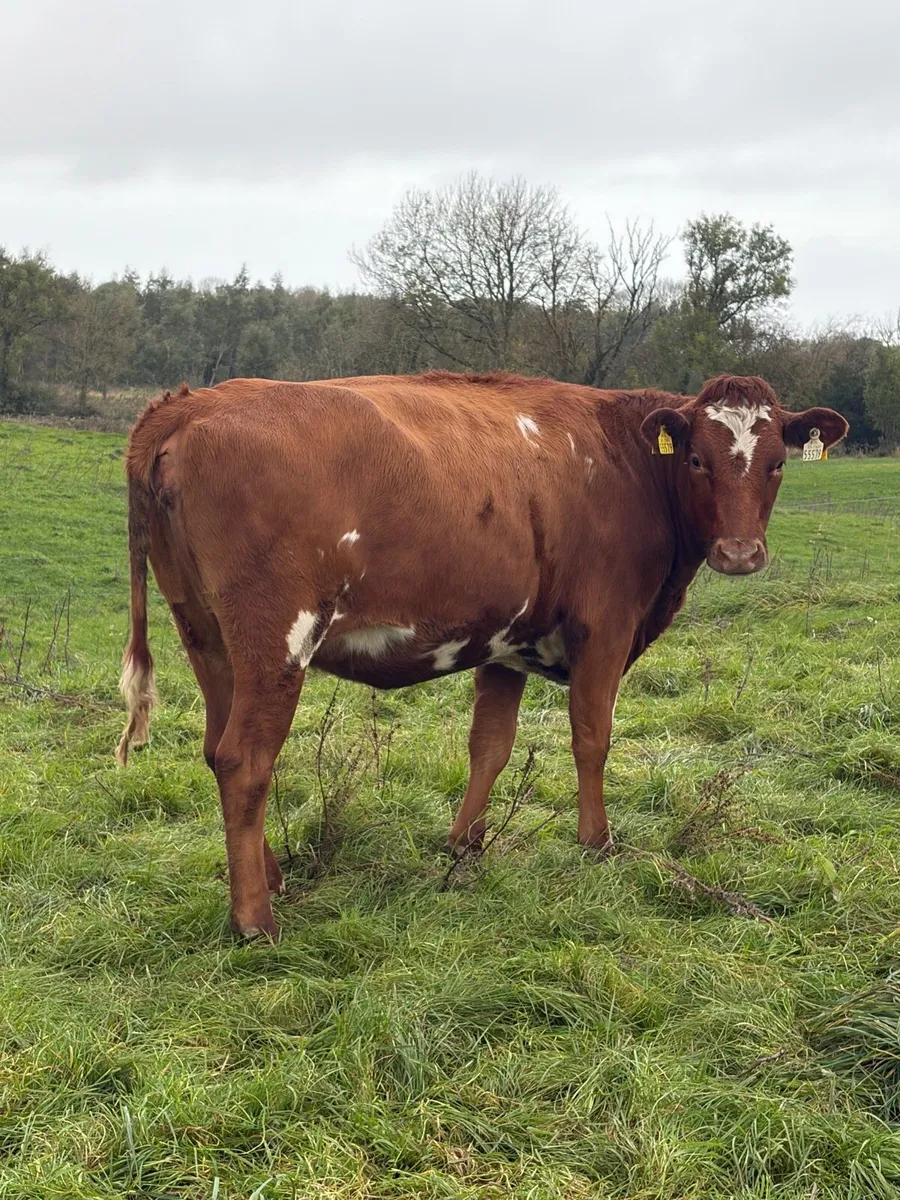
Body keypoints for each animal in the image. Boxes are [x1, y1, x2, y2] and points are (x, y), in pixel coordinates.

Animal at [116, 371, 848, 939]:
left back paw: (270, 879)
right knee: (245, 761)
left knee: (215, 748)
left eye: (777, 463)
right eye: (698, 460)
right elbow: (592, 736)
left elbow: (490, 745)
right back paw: (254, 919)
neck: (623, 458)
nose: (740, 554)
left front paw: (464, 847)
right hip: (276, 638)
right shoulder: (605, 626)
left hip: (206, 635)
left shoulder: (506, 641)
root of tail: (191, 402)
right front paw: (596, 842)